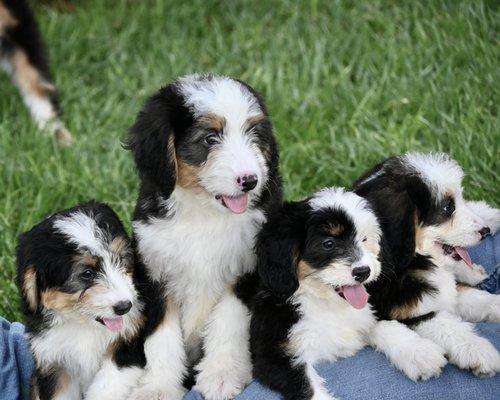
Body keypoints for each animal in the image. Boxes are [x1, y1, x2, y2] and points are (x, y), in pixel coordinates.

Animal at [17, 203, 143, 400]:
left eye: (121, 260)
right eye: (87, 273)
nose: (125, 307)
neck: (84, 325)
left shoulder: (126, 349)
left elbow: (106, 388)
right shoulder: (54, 364)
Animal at [125, 74, 282, 400]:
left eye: (253, 134)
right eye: (209, 138)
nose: (250, 181)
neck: (204, 213)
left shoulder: (247, 271)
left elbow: (228, 320)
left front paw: (222, 375)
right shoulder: (154, 272)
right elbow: (161, 337)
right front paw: (158, 387)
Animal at [252, 188, 380, 400]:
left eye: (364, 239)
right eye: (328, 244)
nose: (363, 272)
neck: (322, 302)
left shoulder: (362, 318)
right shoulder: (273, 353)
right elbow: (308, 387)